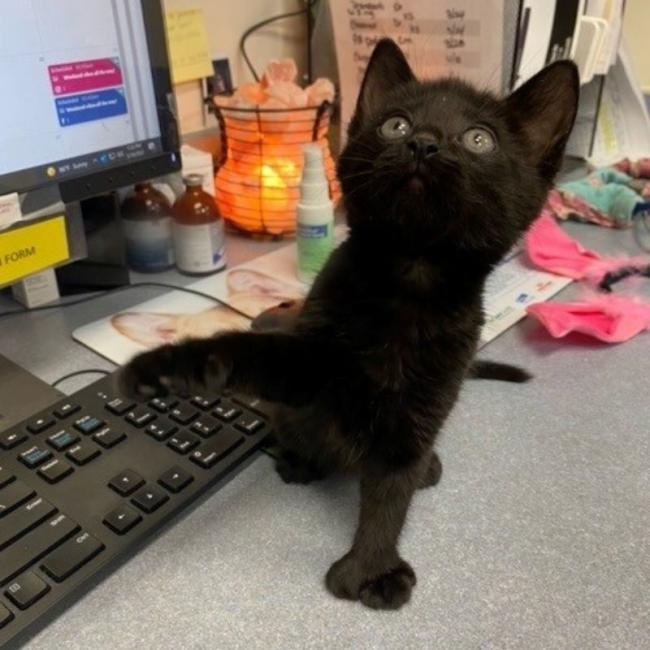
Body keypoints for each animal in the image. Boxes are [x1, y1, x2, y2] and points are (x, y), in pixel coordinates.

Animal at [117, 39, 576, 608]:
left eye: (478, 139)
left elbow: (391, 492)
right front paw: (169, 368)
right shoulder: (307, 364)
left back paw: (427, 468)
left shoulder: (421, 409)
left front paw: (372, 567)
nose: (423, 144)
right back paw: (300, 460)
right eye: (396, 125)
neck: (407, 284)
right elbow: (246, 354)